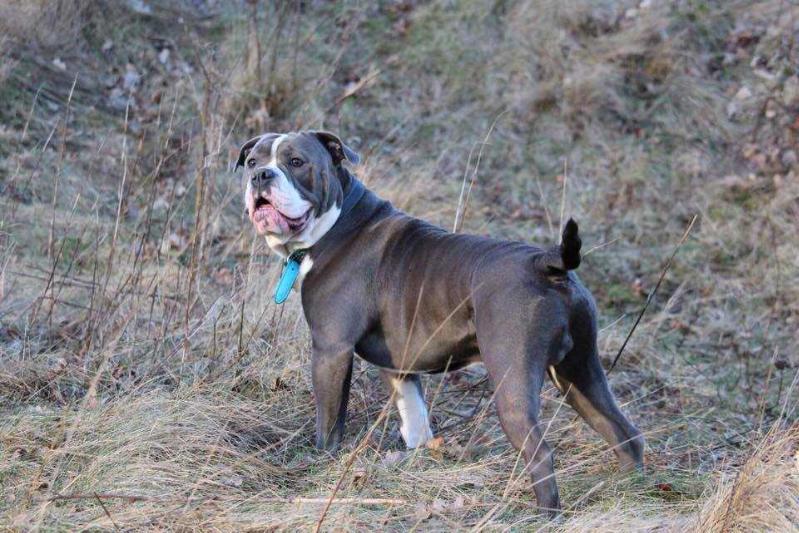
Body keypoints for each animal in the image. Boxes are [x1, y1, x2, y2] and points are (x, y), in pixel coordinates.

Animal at [236, 131, 644, 512]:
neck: (338, 222)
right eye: (253, 161)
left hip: (513, 382)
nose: (260, 176)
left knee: (541, 454)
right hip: (579, 373)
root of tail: (547, 263)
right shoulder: (399, 369)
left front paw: (320, 466)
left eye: (296, 161)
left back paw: (545, 517)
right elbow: (415, 422)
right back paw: (633, 493)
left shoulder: (331, 350)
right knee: (625, 433)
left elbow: (329, 424)